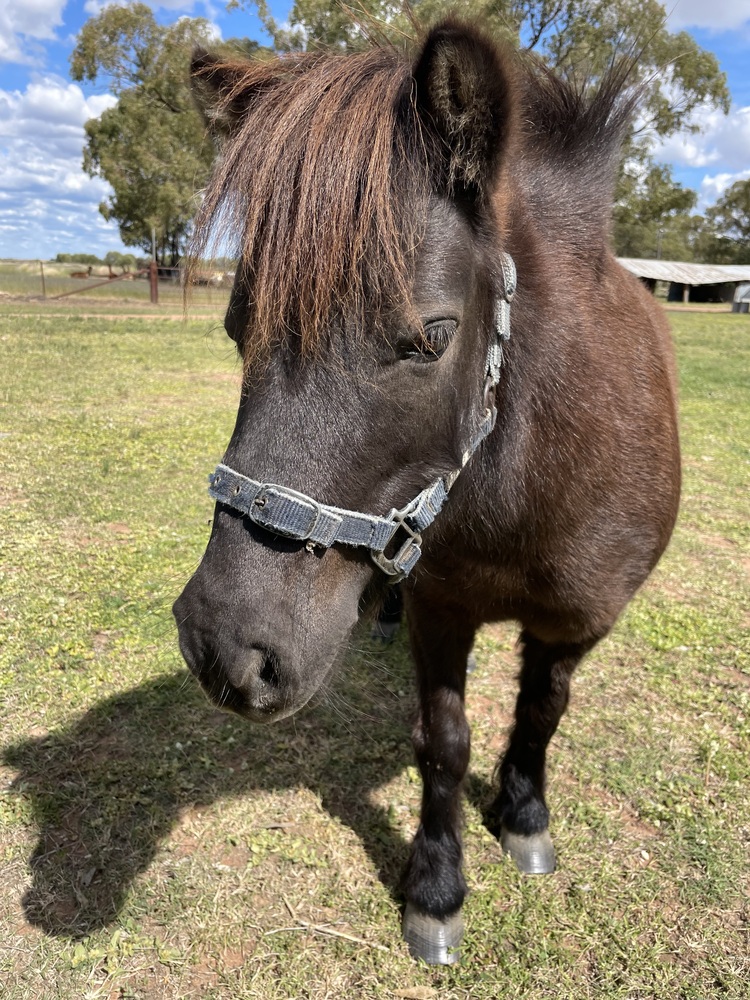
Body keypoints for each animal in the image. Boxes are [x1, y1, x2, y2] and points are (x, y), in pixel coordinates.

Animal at [174, 20, 680, 964]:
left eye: (432, 337)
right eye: (235, 324)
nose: (223, 651)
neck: (525, 495)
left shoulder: (583, 620)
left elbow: (543, 710)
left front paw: (523, 816)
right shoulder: (443, 610)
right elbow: (444, 744)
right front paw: (438, 890)